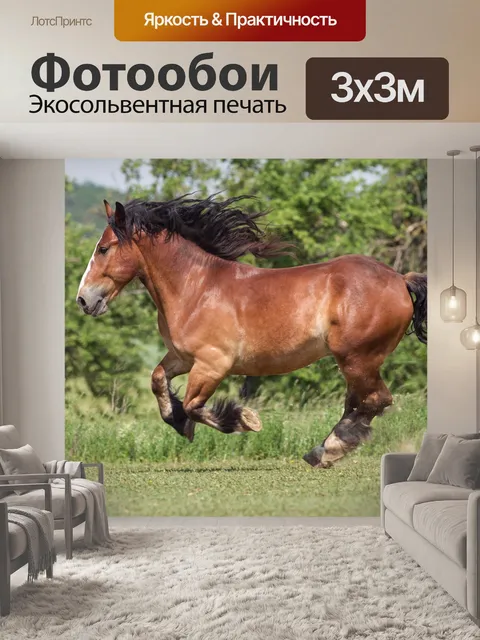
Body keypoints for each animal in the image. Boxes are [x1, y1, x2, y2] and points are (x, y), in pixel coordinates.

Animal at [76, 195, 427, 468]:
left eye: (104, 248)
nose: (83, 300)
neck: (195, 288)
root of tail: (399, 278)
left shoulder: (212, 364)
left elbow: (192, 405)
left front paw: (245, 420)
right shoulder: (183, 358)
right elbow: (158, 380)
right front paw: (178, 423)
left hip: (358, 358)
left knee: (375, 400)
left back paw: (328, 450)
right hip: (355, 362)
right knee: (359, 402)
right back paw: (323, 450)